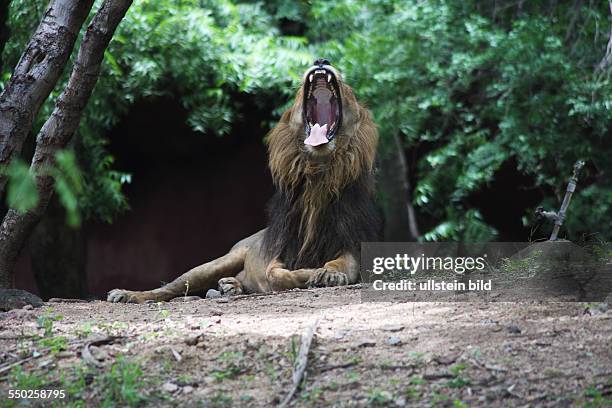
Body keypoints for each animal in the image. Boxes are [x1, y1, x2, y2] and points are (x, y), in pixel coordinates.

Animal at [107, 59, 380, 302]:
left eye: (348, 89)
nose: (322, 60)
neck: (319, 174)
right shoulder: (278, 252)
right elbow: (278, 275)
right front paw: (312, 273)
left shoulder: (351, 243)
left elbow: (342, 264)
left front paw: (329, 273)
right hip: (216, 263)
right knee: (171, 288)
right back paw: (127, 294)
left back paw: (230, 286)